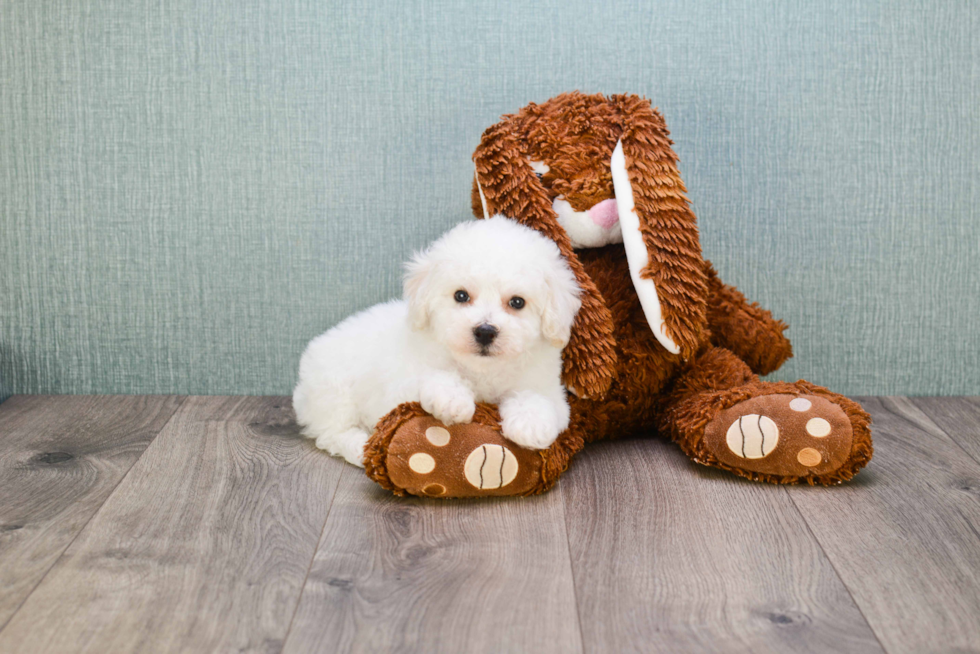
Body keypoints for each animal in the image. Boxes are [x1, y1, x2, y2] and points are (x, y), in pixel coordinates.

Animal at [290, 218, 580, 468]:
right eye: (461, 296)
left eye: (517, 302)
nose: (485, 331)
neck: (482, 369)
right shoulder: (404, 381)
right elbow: (434, 375)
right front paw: (452, 400)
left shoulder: (548, 388)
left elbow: (538, 398)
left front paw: (530, 425)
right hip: (334, 394)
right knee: (331, 433)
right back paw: (360, 445)